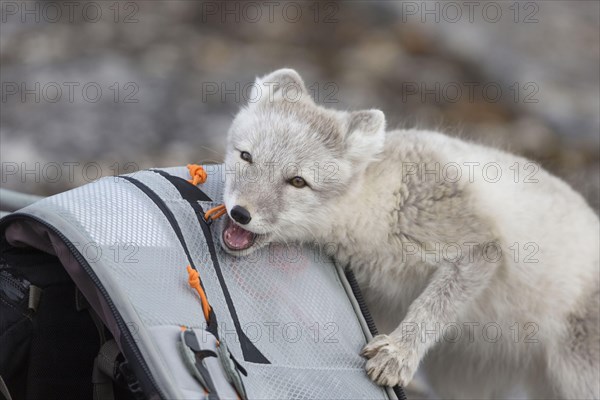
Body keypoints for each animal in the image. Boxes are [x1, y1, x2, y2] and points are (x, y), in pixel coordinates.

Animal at [219, 69, 600, 400]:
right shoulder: (375, 293)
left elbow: (432, 306)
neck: (379, 207)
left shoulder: (477, 243)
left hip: (577, 374)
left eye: (297, 181)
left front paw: (397, 354)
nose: (240, 213)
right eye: (246, 156)